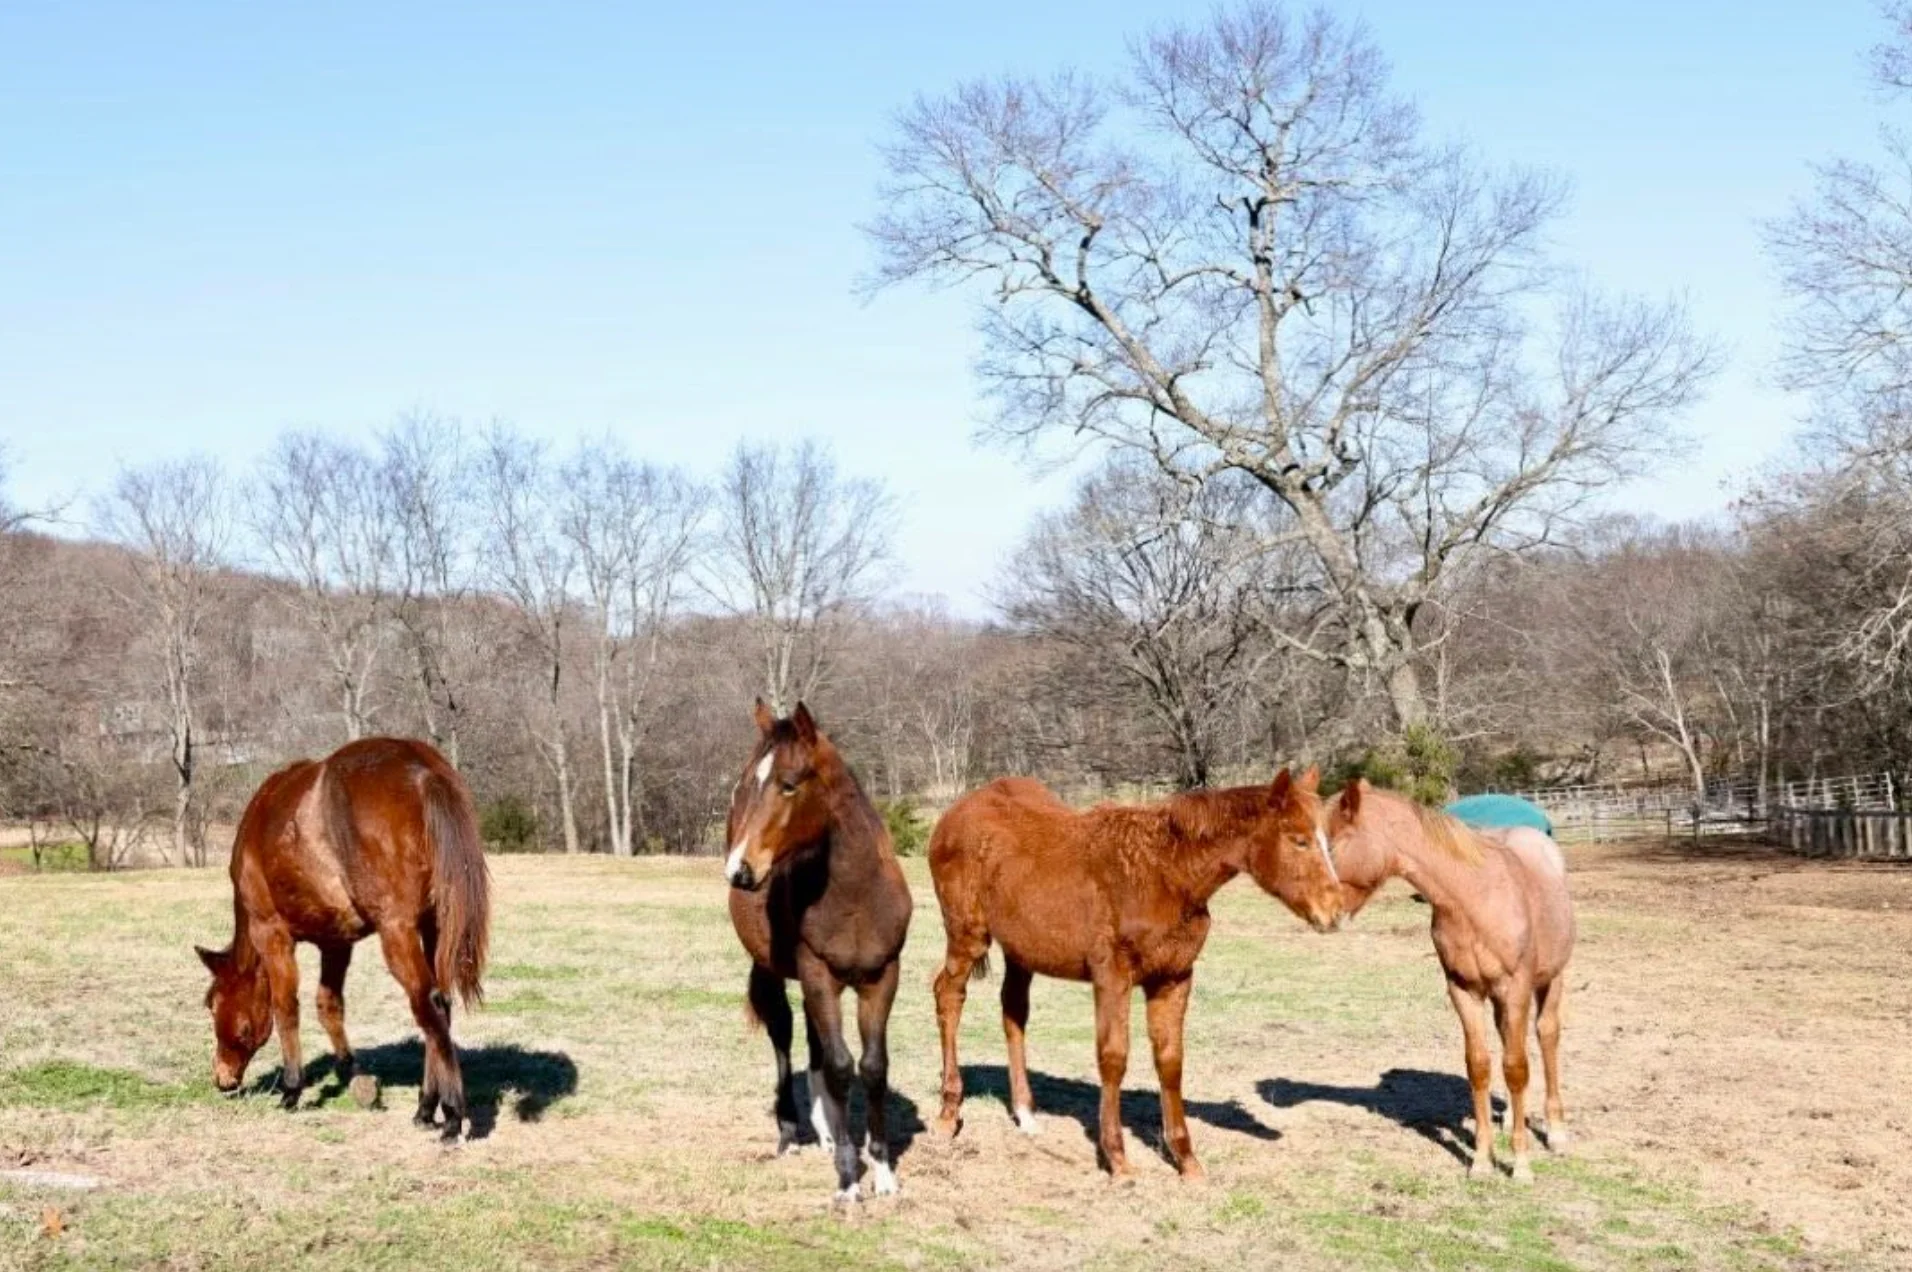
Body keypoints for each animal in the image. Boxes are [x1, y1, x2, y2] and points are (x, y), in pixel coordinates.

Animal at [194, 736, 491, 1142]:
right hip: (434, 927)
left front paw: (292, 1088)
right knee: (441, 1005)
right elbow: (328, 1005)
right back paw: (426, 1107)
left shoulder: (272, 935)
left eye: (213, 1003)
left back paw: (451, 1114)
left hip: (397, 932)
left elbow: (285, 1007)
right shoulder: (336, 943)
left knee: (427, 1003)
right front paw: (351, 1073)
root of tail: (422, 769)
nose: (222, 1078)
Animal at [725, 700, 913, 1204]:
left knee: (814, 1045)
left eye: (789, 784)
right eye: (747, 783)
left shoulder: (881, 978)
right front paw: (848, 1178)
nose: (739, 870)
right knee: (785, 1034)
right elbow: (840, 1066)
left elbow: (872, 1067)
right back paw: (792, 1133)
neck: (856, 896)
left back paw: (826, 1130)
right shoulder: (818, 975)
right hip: (774, 970)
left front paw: (883, 1171)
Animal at [928, 767, 1344, 1181]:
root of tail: (954, 813)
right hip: (967, 937)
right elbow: (1114, 1057)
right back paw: (948, 1115)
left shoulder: (1173, 978)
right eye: (1299, 840)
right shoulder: (1112, 978)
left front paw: (1186, 1160)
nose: (1335, 912)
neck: (1164, 873)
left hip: (1020, 951)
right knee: (948, 995)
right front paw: (1118, 1160)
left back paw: (1026, 1114)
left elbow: (1170, 1060)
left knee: (1013, 1011)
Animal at [1328, 779, 1575, 1182]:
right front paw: (1482, 1161)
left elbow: (1516, 1068)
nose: (1323, 912)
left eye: (1331, 844)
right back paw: (1512, 1119)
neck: (1474, 897)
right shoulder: (1464, 990)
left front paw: (1520, 1165)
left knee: (1547, 1036)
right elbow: (1480, 1066)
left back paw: (1556, 1132)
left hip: (1551, 979)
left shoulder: (1515, 988)